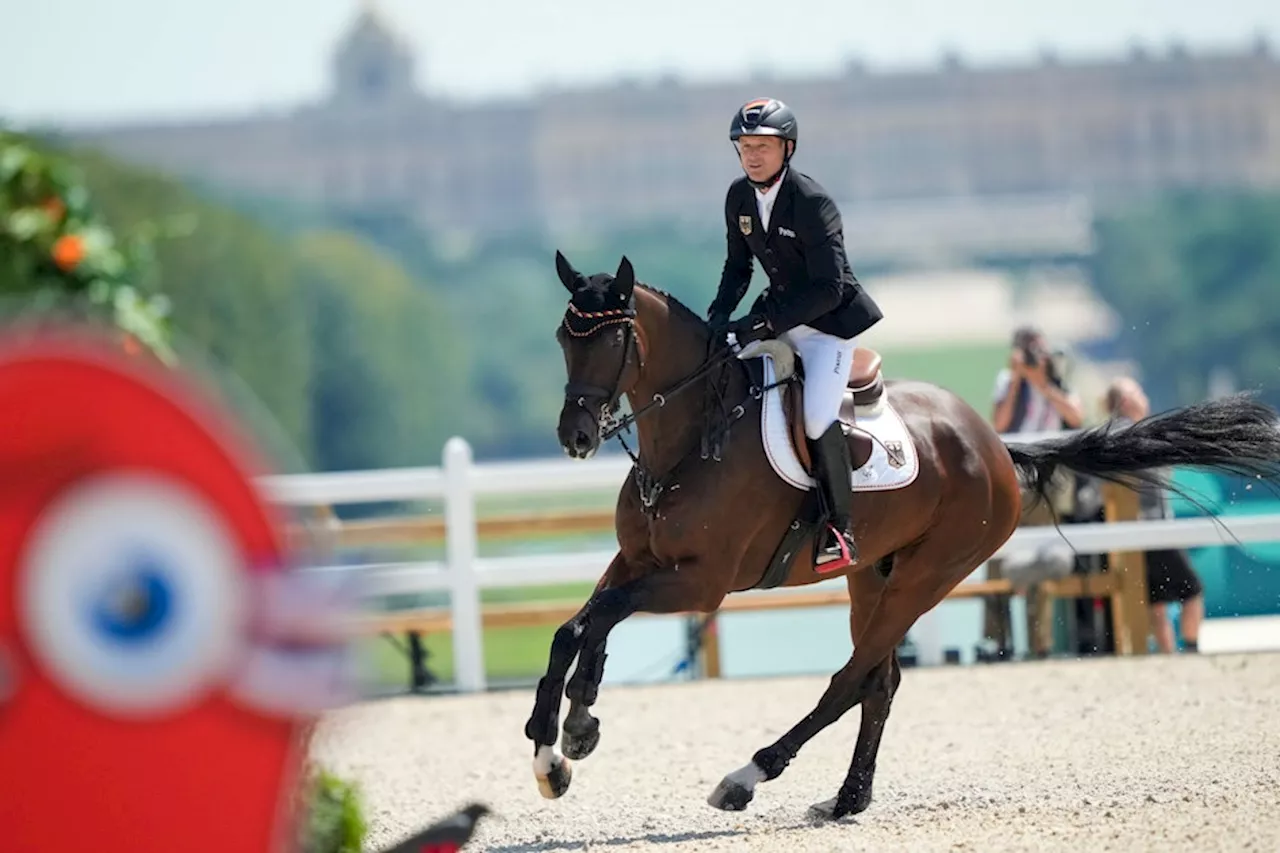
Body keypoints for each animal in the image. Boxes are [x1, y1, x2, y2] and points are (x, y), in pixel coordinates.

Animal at [522, 252, 1280, 819]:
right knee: (879, 680)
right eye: (562, 338)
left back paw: (748, 777)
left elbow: (602, 617)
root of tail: (997, 445)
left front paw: (571, 731)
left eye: (611, 341)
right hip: (874, 574)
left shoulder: (700, 582)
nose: (576, 436)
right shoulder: (638, 559)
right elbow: (578, 625)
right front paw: (559, 745)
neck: (690, 441)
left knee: (851, 679)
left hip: (928, 574)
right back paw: (847, 798)